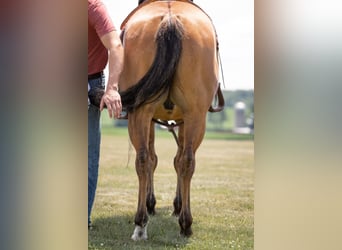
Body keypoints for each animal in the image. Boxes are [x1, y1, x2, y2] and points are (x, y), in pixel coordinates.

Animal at [118, 0, 224, 240]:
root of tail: (170, 19)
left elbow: (160, 159)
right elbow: (170, 159)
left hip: (145, 112)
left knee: (147, 159)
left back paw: (142, 223)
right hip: (193, 116)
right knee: (182, 161)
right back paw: (181, 223)